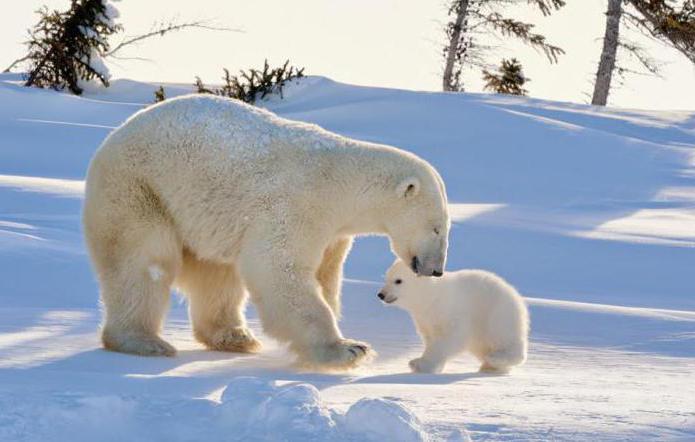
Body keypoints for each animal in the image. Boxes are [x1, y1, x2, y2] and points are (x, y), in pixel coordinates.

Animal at [83, 94, 452, 370]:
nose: (436, 270)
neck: (340, 183)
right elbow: (280, 270)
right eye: (437, 227)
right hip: (139, 189)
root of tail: (111, 138)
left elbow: (324, 276)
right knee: (144, 262)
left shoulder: (333, 233)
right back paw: (144, 341)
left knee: (216, 274)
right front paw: (347, 350)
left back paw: (235, 337)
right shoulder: (296, 205)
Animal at [380, 258, 528, 372]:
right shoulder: (426, 319)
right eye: (386, 278)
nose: (381, 294)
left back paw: (495, 358)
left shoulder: (450, 310)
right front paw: (432, 366)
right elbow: (431, 338)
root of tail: (516, 296)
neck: (432, 296)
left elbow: (452, 337)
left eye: (398, 281)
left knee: (503, 337)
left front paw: (420, 364)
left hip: (496, 312)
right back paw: (491, 366)